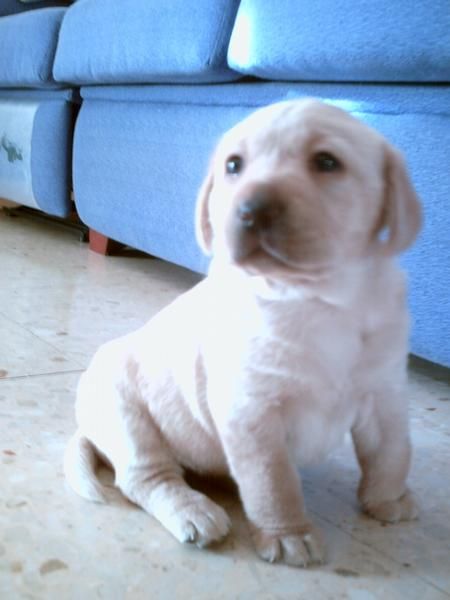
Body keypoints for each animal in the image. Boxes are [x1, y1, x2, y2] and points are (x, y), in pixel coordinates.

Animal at [64, 98, 422, 568]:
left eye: (327, 162)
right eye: (234, 165)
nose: (252, 208)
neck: (319, 299)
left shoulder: (385, 395)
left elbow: (392, 454)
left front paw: (388, 499)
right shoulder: (252, 413)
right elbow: (274, 483)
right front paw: (289, 535)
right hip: (126, 416)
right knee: (147, 477)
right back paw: (195, 513)